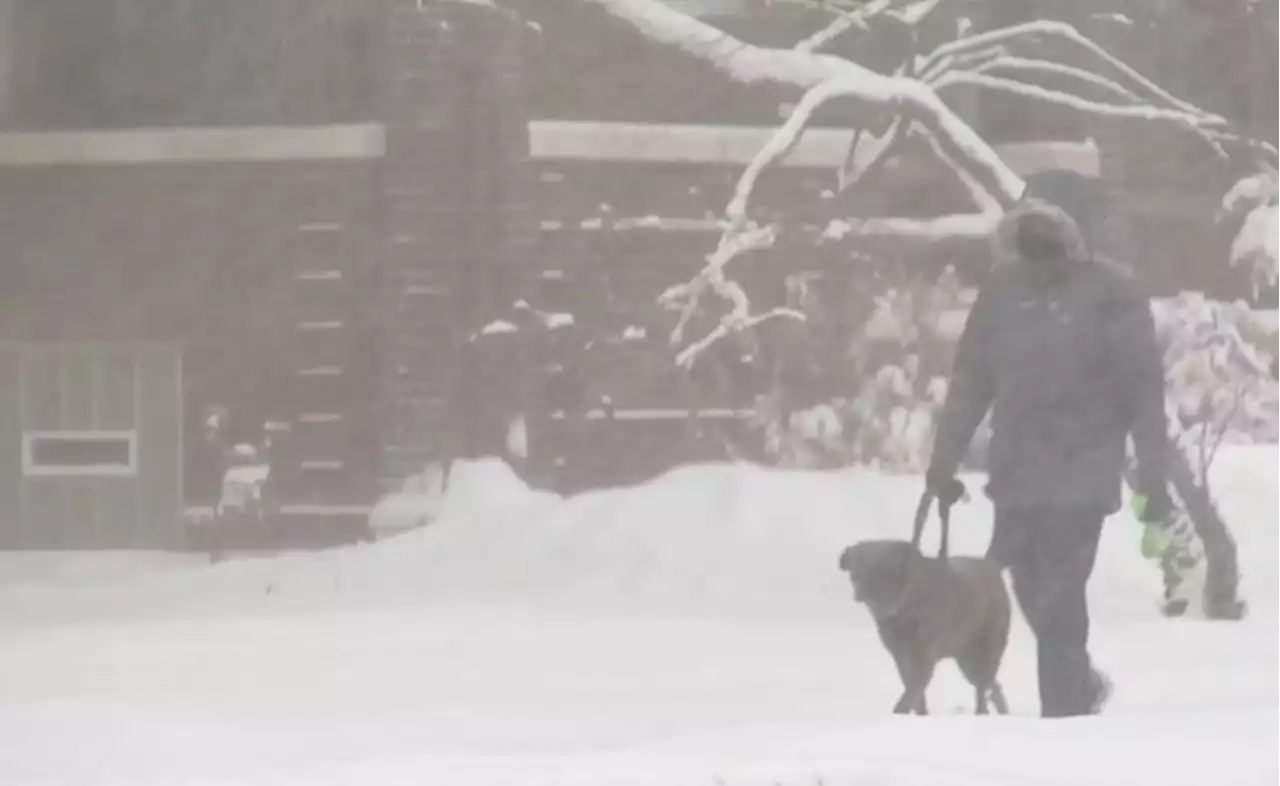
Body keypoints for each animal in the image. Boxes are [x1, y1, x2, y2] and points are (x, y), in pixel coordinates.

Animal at [839, 542, 1008, 716]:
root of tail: (992, 568)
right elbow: (914, 690)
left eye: (882, 566)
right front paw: (921, 714)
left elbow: (913, 688)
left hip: (987, 649)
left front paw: (900, 711)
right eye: (856, 566)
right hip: (967, 660)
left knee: (983, 686)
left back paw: (982, 711)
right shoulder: (900, 655)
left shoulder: (924, 654)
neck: (904, 607)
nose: (861, 589)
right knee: (991, 685)